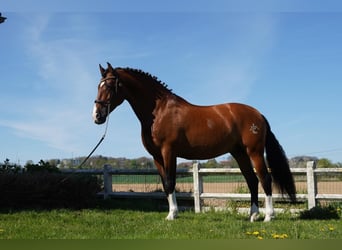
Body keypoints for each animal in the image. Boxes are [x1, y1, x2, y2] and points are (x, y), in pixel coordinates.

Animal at [93, 63, 296, 223]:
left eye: (109, 86)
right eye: (98, 86)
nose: (97, 116)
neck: (159, 111)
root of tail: (258, 115)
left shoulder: (169, 152)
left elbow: (170, 181)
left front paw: (172, 214)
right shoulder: (157, 156)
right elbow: (165, 184)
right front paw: (171, 213)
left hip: (254, 152)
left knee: (265, 179)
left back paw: (269, 216)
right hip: (239, 153)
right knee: (252, 180)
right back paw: (253, 215)